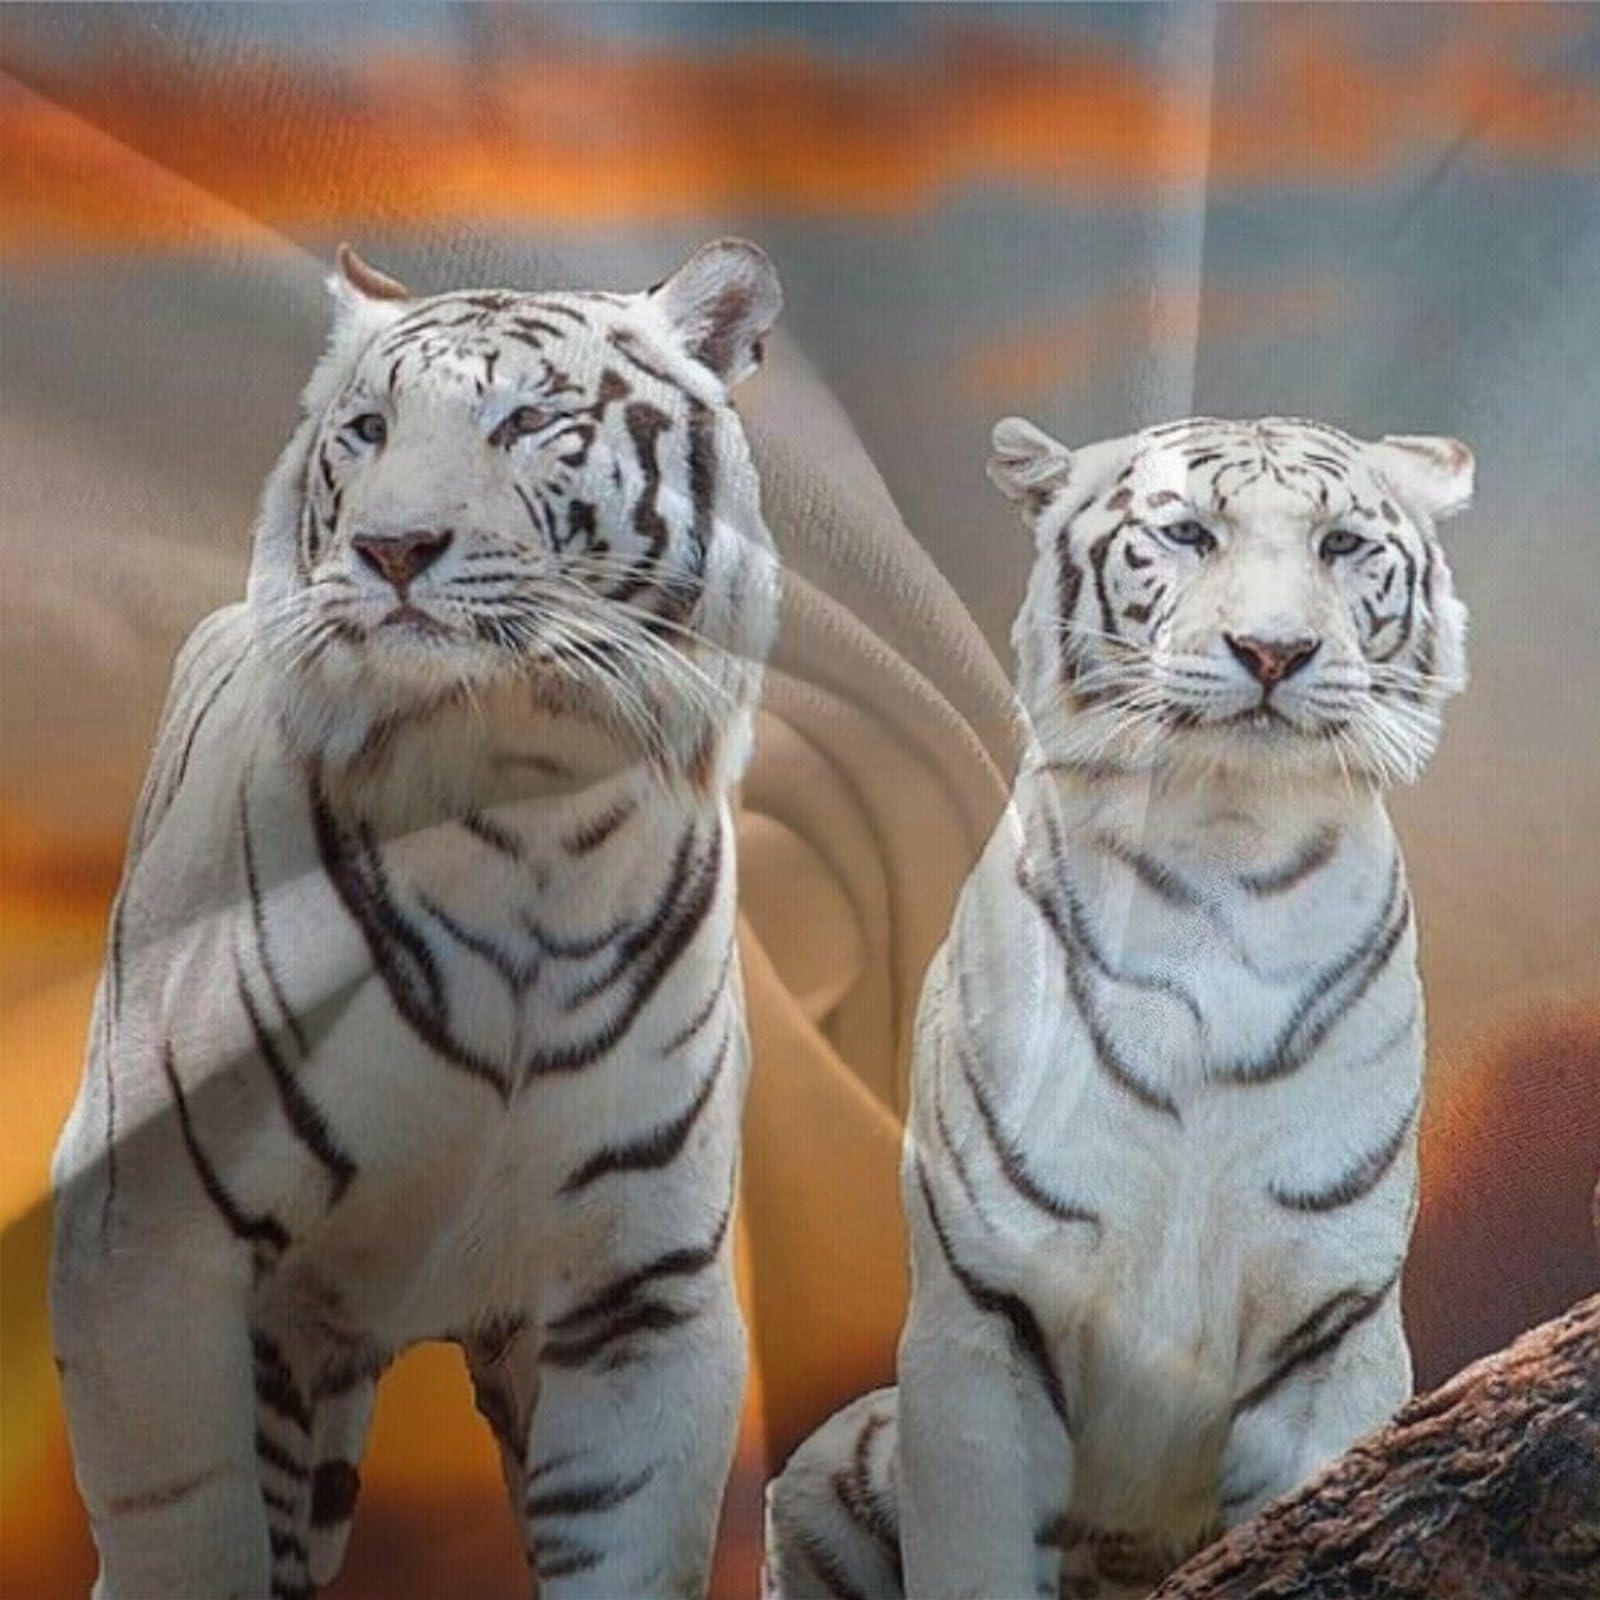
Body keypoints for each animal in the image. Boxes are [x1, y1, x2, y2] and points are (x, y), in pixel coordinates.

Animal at [49, 237, 782, 1600]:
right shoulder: (142, 1245)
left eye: (530, 422)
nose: (392, 549)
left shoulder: (641, 1293)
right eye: (369, 431)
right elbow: (187, 1534)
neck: (530, 822)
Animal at [764, 415, 1473, 1600]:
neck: (1226, 851)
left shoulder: (1333, 1327)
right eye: (1186, 534)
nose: (1274, 650)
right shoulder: (983, 1316)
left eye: (1338, 545)